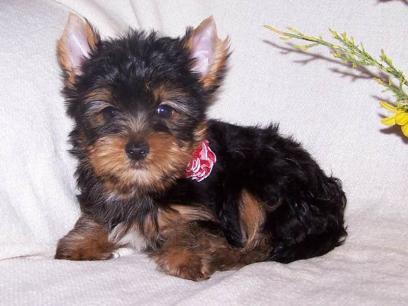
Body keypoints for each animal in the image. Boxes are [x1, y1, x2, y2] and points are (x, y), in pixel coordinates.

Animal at [55, 14, 346, 280]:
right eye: (109, 112)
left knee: (266, 243)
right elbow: (97, 214)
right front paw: (81, 241)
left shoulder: (206, 212)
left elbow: (192, 229)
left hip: (268, 182)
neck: (143, 185)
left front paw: (186, 258)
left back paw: (226, 256)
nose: (136, 149)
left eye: (165, 110)